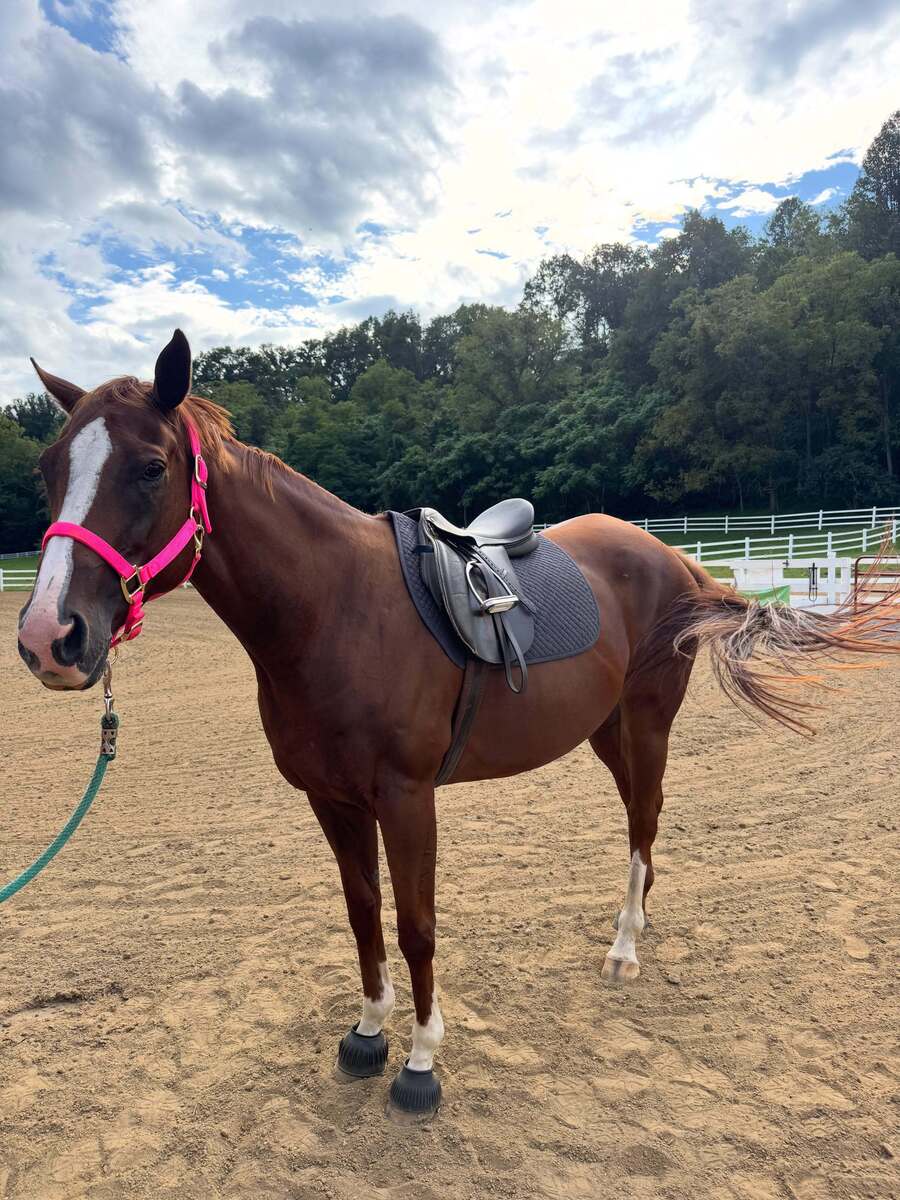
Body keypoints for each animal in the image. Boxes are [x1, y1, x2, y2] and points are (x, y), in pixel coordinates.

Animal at [17, 330, 899, 1118]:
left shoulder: (408, 799)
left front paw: (420, 1061)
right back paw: (638, 919)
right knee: (640, 822)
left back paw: (624, 948)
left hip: (648, 723)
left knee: (645, 819)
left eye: (150, 467)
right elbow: (362, 912)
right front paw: (369, 1032)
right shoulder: (332, 801)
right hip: (606, 730)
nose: (49, 636)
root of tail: (674, 559)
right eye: (49, 470)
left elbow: (416, 926)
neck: (335, 609)